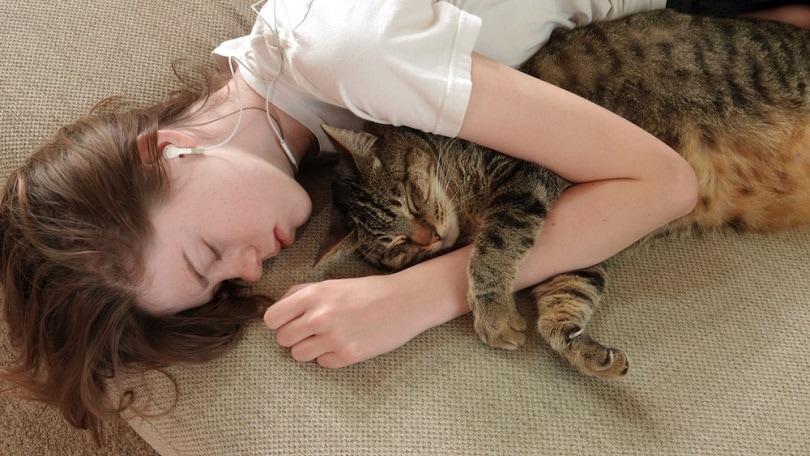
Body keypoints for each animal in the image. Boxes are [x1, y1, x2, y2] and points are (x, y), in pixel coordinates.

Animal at [314, 10, 808, 380]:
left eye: (412, 198)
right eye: (399, 247)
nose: (429, 237)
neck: (464, 203)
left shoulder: (530, 177)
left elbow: (494, 249)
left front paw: (492, 313)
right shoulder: (587, 227)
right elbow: (566, 292)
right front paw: (579, 347)